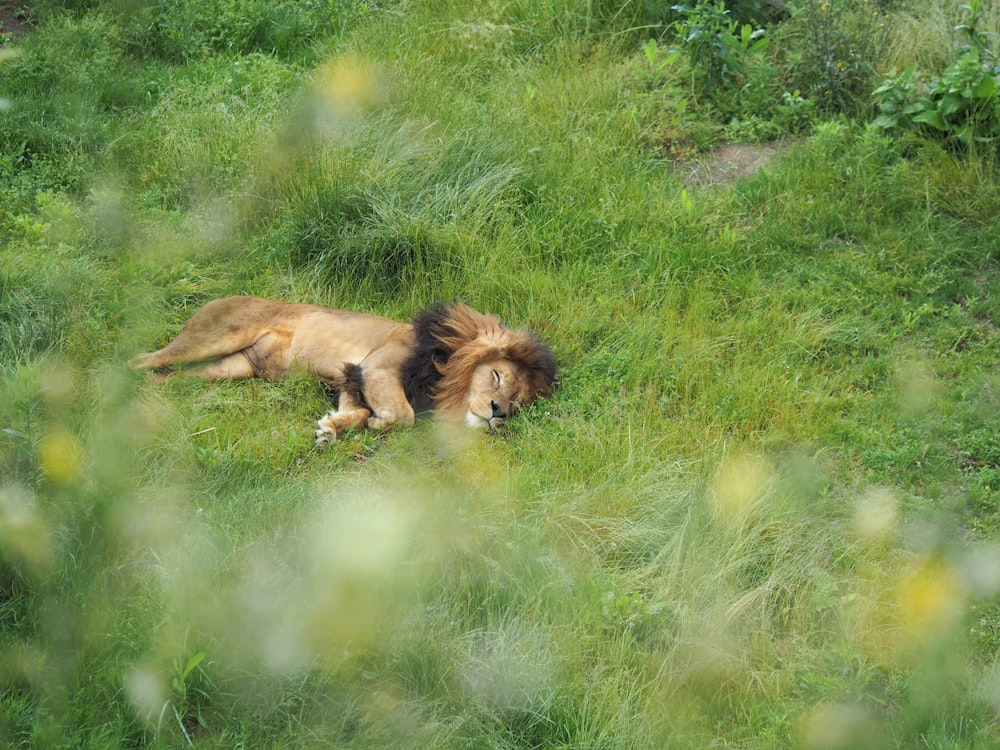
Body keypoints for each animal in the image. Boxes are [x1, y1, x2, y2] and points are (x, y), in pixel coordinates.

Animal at [127, 296, 556, 444]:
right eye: (497, 377)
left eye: (517, 402)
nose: (498, 413)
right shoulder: (378, 366)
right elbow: (404, 415)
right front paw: (378, 424)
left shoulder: (353, 376)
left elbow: (358, 409)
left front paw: (331, 428)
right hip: (211, 339)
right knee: (141, 360)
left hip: (227, 369)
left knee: (164, 377)